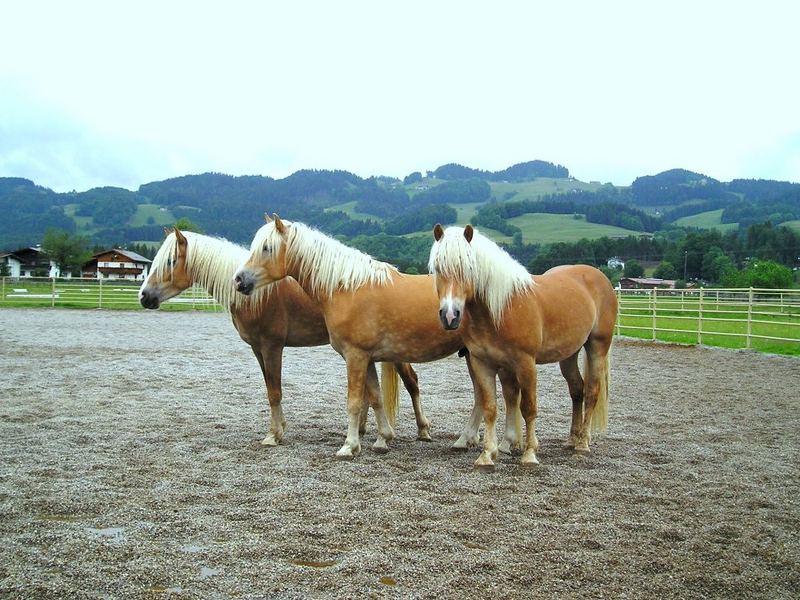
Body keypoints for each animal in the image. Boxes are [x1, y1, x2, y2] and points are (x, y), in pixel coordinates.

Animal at [137, 227, 432, 448]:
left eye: (170, 261)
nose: (144, 296)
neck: (258, 295)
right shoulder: (258, 350)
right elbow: (270, 390)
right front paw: (278, 429)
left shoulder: (272, 347)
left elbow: (275, 392)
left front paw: (274, 435)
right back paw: (362, 431)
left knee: (412, 383)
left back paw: (423, 430)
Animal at [231, 216, 524, 460]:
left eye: (266, 248)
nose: (239, 280)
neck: (347, 287)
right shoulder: (368, 358)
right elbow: (375, 397)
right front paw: (383, 438)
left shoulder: (355, 356)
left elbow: (354, 401)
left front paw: (349, 446)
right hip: (473, 357)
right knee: (482, 398)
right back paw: (467, 440)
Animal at [432, 223, 620, 472]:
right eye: (437, 268)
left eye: (469, 268)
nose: (450, 315)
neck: (501, 309)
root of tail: (599, 276)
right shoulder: (482, 363)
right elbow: (490, 407)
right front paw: (486, 455)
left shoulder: (525, 364)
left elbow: (528, 408)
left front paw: (529, 454)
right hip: (568, 354)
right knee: (576, 390)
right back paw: (572, 439)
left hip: (597, 346)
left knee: (591, 392)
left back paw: (583, 444)